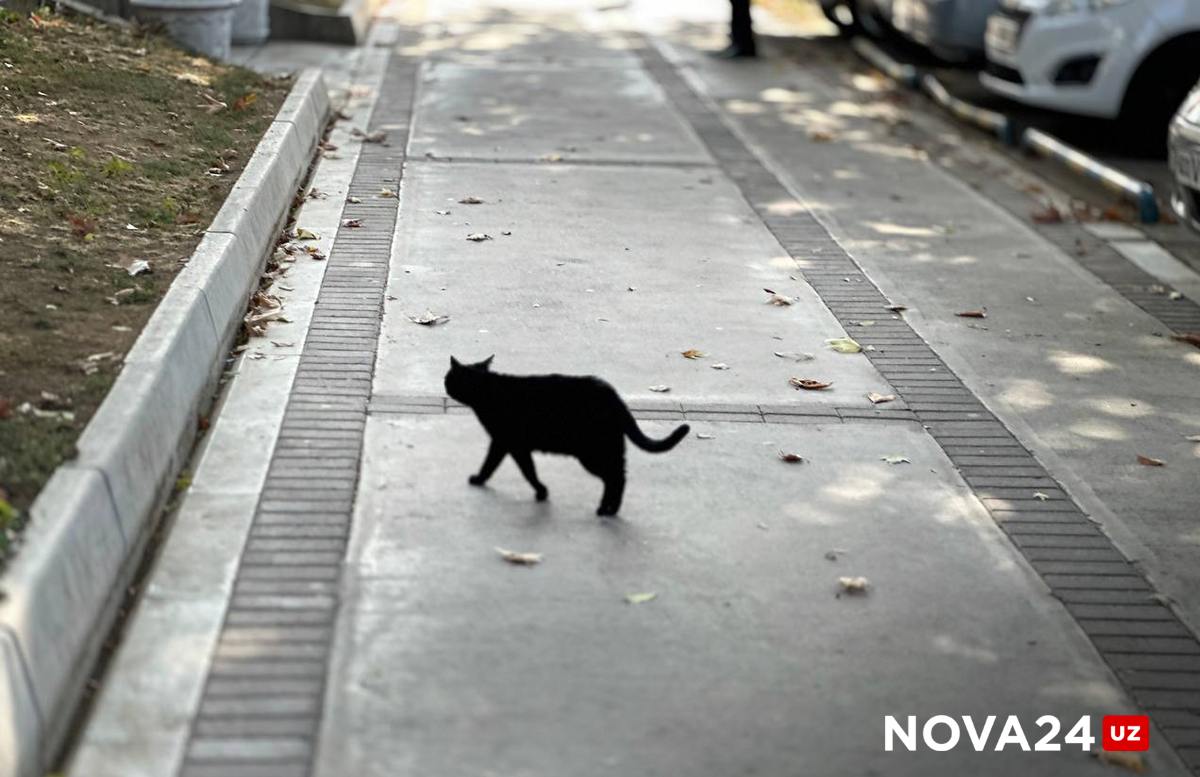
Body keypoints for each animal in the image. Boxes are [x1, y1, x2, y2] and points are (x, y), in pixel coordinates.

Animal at [444, 357, 691, 515]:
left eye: (448, 378)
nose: (444, 384)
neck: (488, 391)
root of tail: (612, 394)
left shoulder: (507, 442)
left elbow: (515, 468)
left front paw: (481, 479)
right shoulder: (511, 444)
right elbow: (523, 467)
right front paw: (541, 491)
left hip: (593, 452)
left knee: (614, 478)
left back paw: (605, 510)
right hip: (610, 448)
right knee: (620, 475)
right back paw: (611, 508)